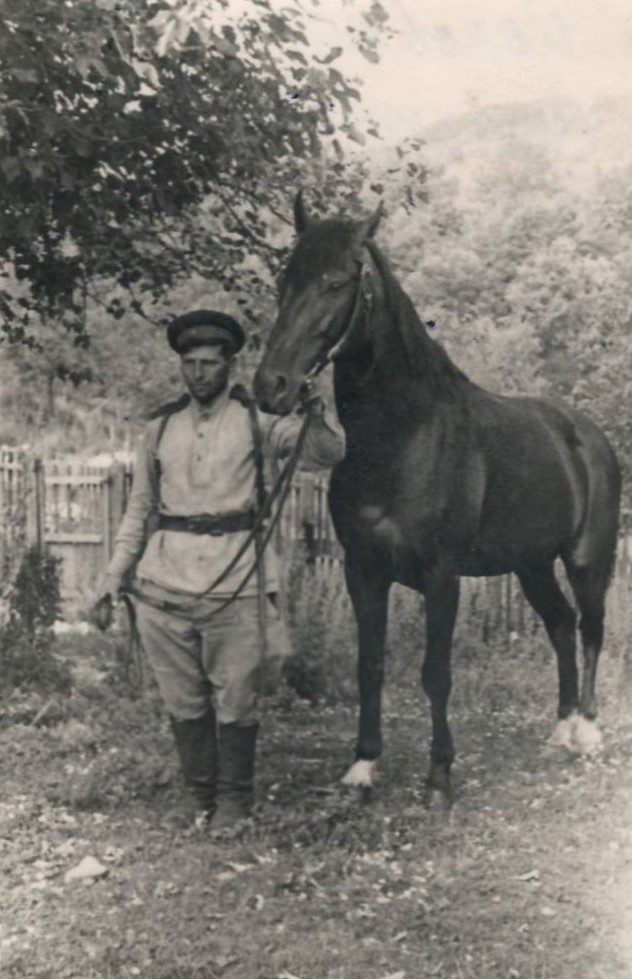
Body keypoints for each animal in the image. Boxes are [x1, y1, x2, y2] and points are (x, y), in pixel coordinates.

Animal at [253, 193, 624, 804]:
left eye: (336, 281)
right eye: (286, 280)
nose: (271, 386)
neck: (403, 437)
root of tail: (588, 435)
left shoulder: (441, 573)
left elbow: (435, 673)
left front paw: (440, 775)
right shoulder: (363, 569)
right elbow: (371, 665)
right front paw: (363, 767)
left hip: (587, 560)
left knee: (591, 627)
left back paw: (588, 733)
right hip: (531, 566)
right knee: (561, 625)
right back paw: (561, 729)